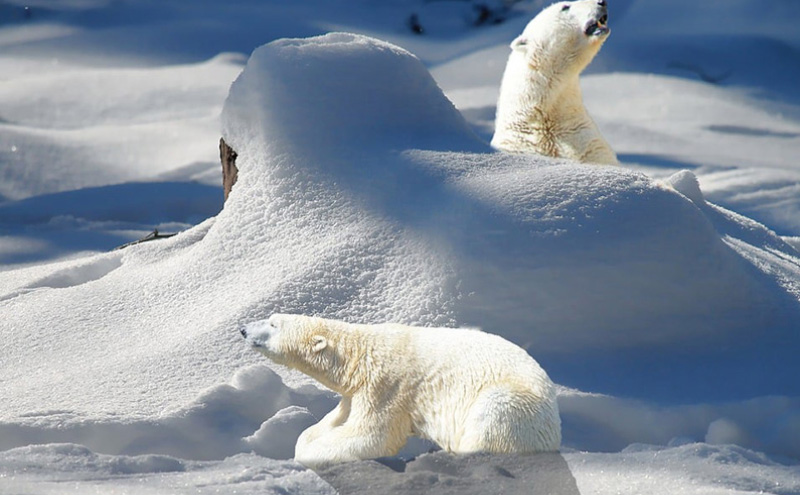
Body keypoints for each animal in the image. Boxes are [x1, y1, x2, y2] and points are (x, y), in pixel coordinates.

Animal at [241, 314, 560, 468]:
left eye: (273, 323)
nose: (243, 329)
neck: (359, 355)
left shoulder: (387, 386)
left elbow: (372, 436)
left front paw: (310, 453)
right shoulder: (356, 392)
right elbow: (334, 420)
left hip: (513, 407)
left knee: (489, 421)